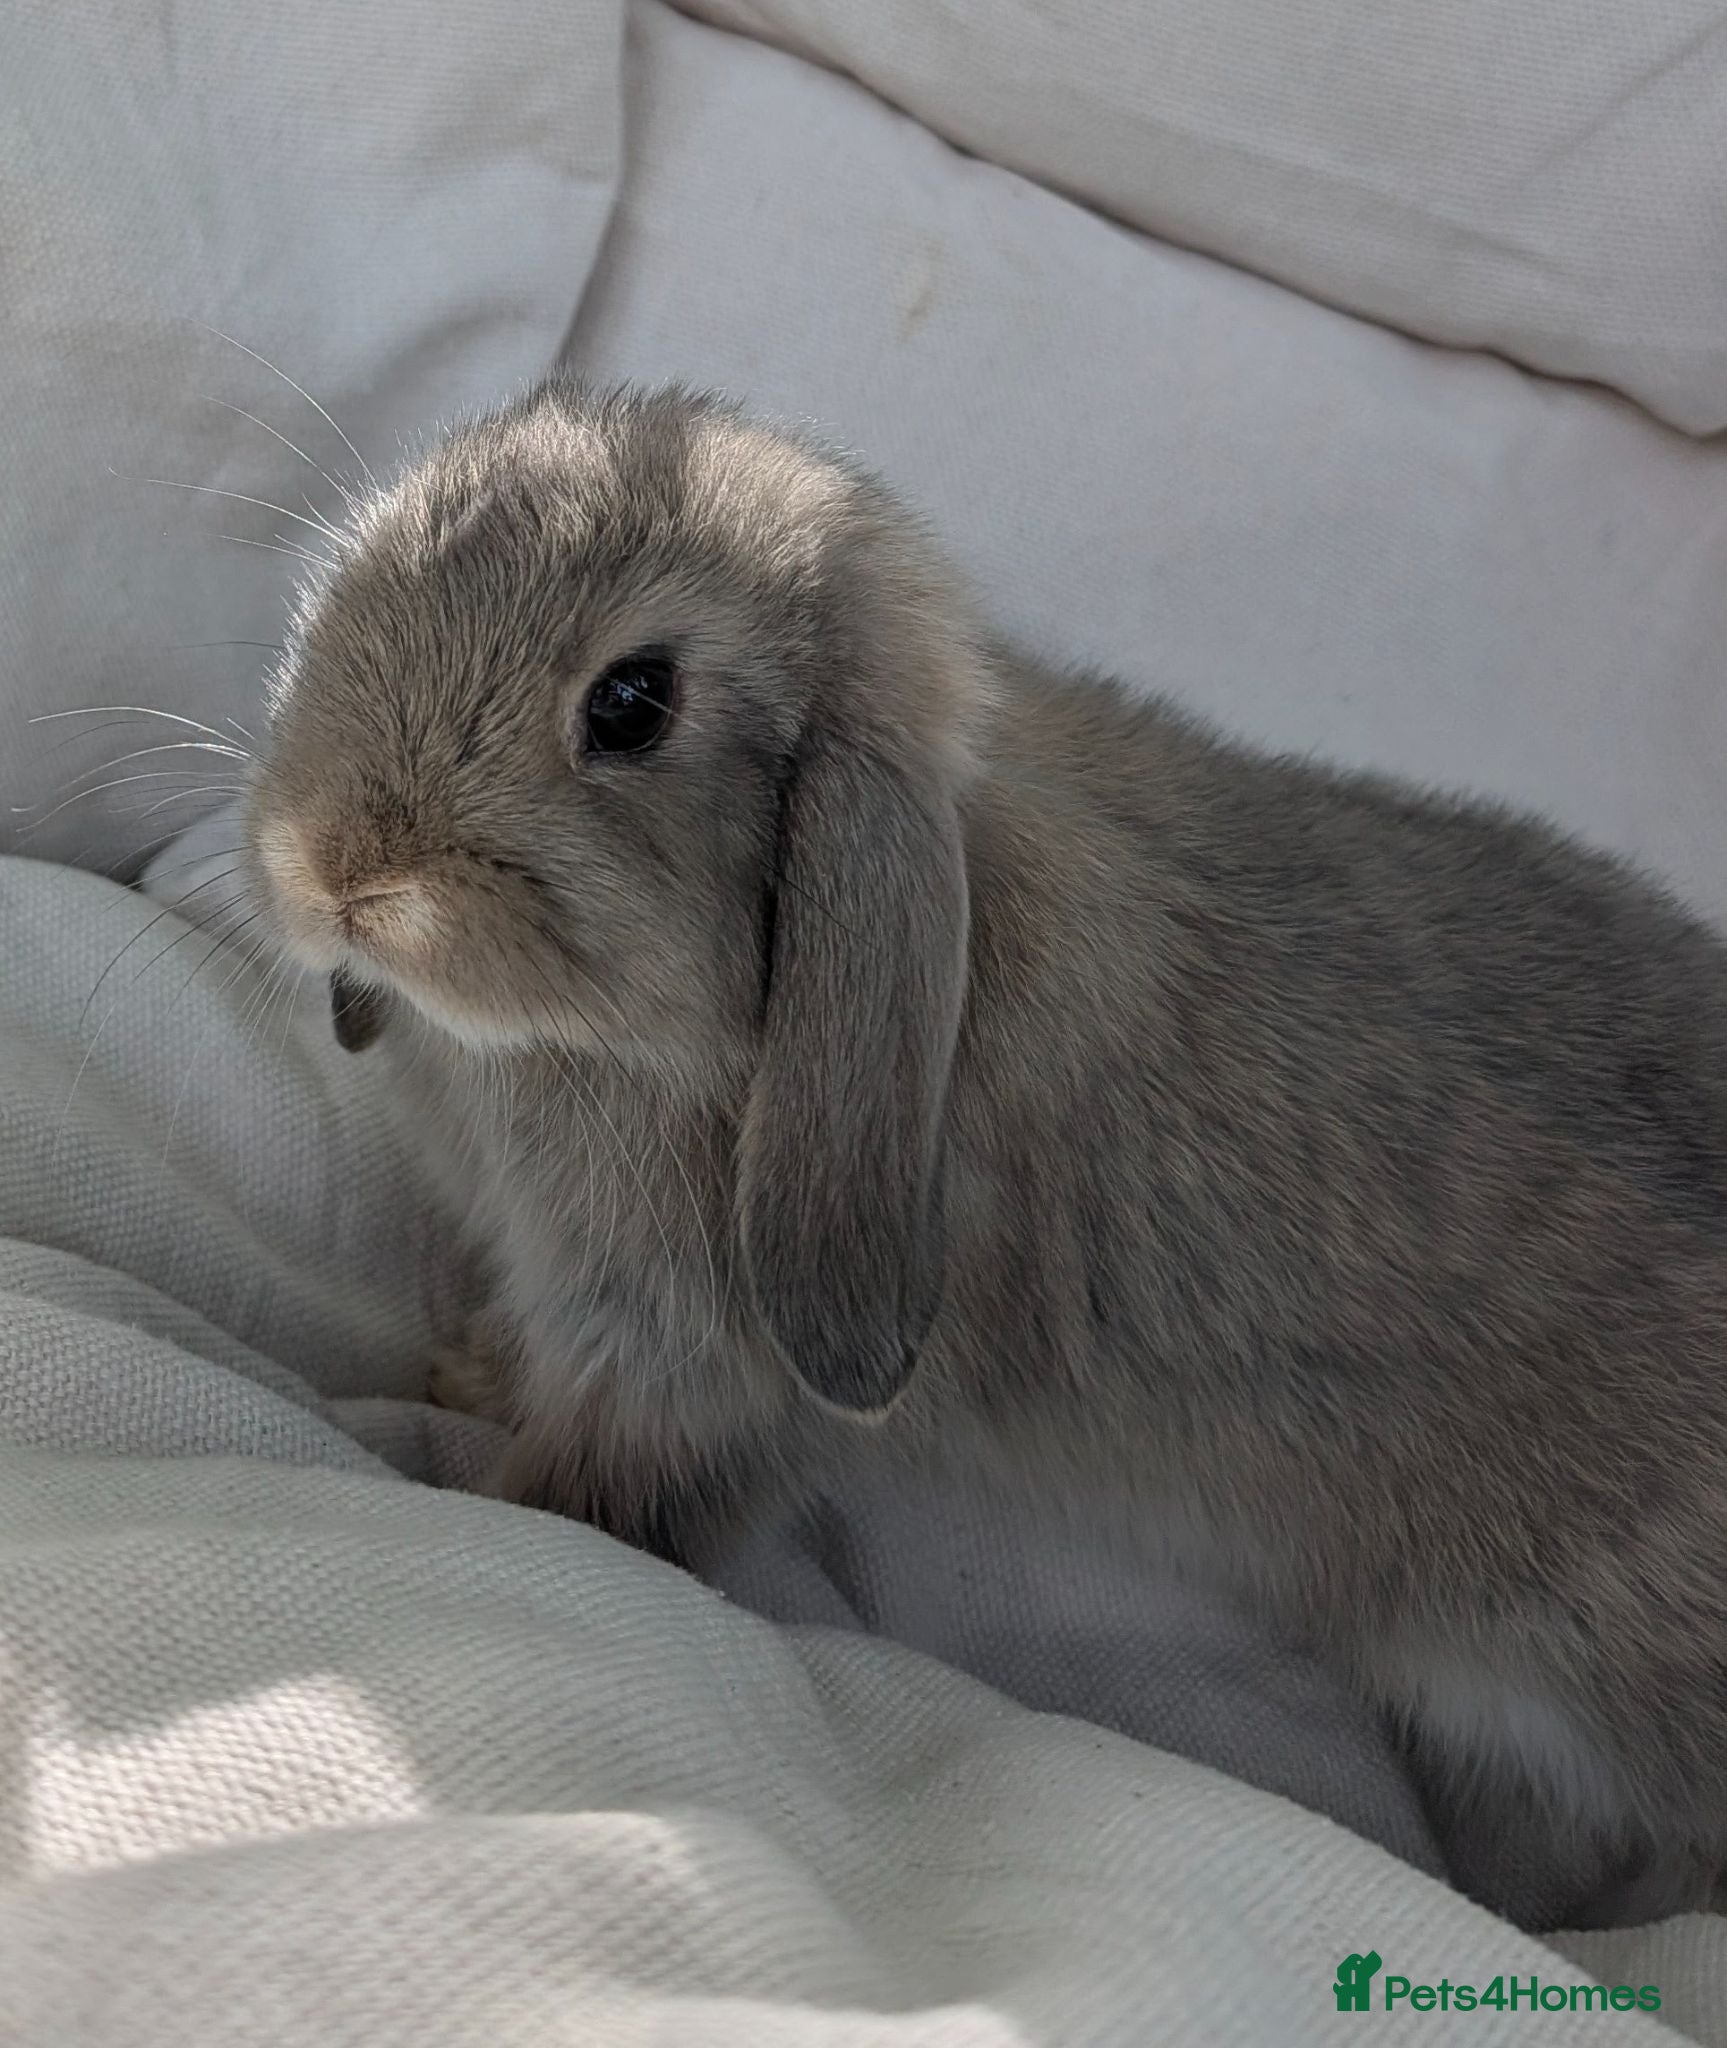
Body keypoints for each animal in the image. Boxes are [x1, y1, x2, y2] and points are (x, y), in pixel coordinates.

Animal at [244, 378, 1727, 1930]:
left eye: (632, 702)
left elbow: (594, 1495)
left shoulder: (680, 1362)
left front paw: (461, 1492)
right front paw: (464, 1375)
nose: (332, 872)